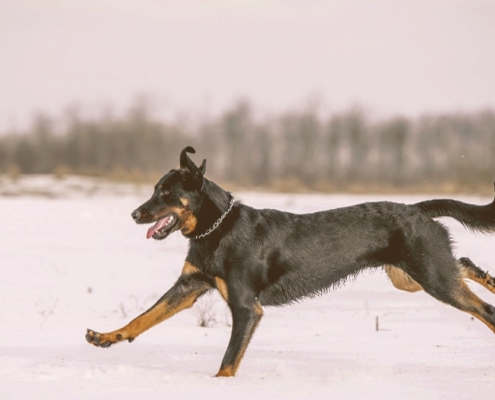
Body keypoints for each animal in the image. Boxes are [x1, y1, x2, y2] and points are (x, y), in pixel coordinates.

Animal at [85, 145, 495, 376]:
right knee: (465, 264)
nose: (135, 214)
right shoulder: (189, 286)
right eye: (154, 190)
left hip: (430, 275)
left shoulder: (246, 308)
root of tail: (417, 208)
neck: (216, 229)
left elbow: (228, 362)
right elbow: (144, 317)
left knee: (483, 308)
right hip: (410, 276)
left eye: (166, 193)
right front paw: (105, 337)